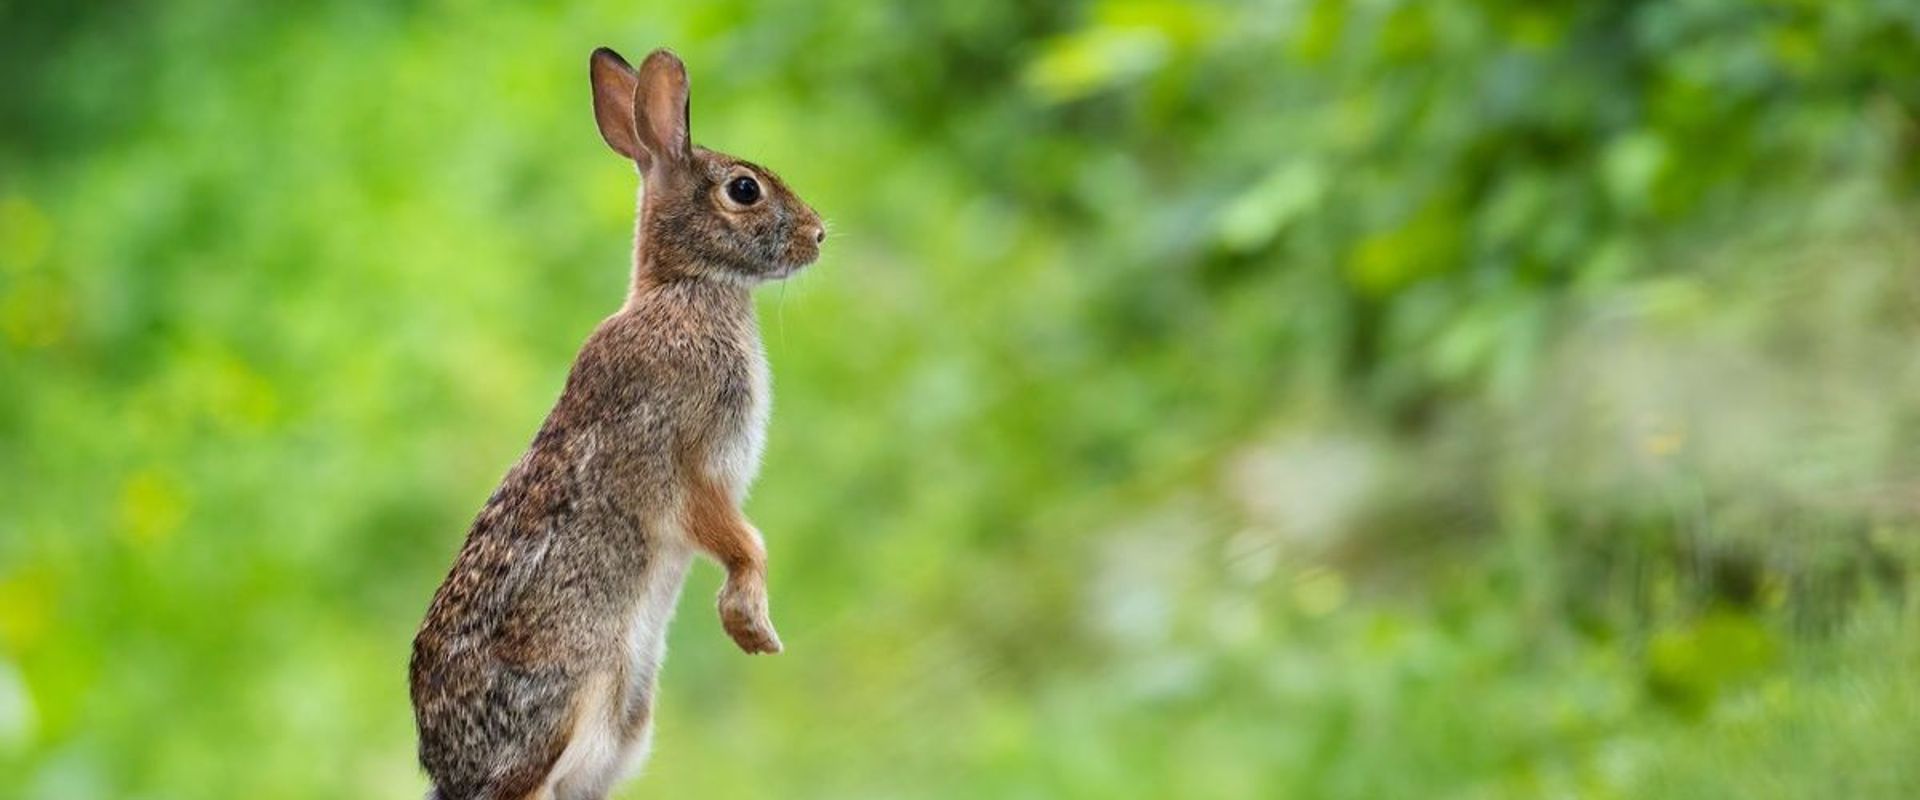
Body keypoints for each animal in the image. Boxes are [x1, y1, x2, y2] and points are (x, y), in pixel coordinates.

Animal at [409, 46, 825, 800]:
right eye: (743, 190)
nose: (818, 235)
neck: (684, 288)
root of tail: (452, 771)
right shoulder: (688, 465)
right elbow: (743, 543)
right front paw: (750, 626)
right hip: (569, 710)